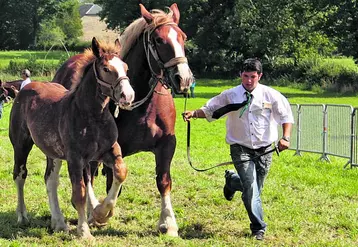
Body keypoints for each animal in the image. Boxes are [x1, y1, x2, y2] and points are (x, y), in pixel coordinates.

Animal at [10, 36, 136, 237]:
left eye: (125, 67)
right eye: (106, 69)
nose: (128, 95)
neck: (92, 115)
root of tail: (26, 88)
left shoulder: (108, 151)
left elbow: (120, 172)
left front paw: (101, 213)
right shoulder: (75, 158)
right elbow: (80, 193)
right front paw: (84, 232)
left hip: (53, 153)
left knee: (50, 180)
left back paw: (59, 222)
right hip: (21, 145)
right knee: (20, 175)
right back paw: (22, 215)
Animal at [50, 3, 193, 235]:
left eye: (183, 37)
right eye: (158, 40)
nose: (184, 78)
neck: (143, 105)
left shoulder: (166, 145)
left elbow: (163, 181)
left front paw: (168, 222)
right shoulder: (112, 148)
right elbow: (111, 182)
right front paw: (100, 212)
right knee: (87, 175)